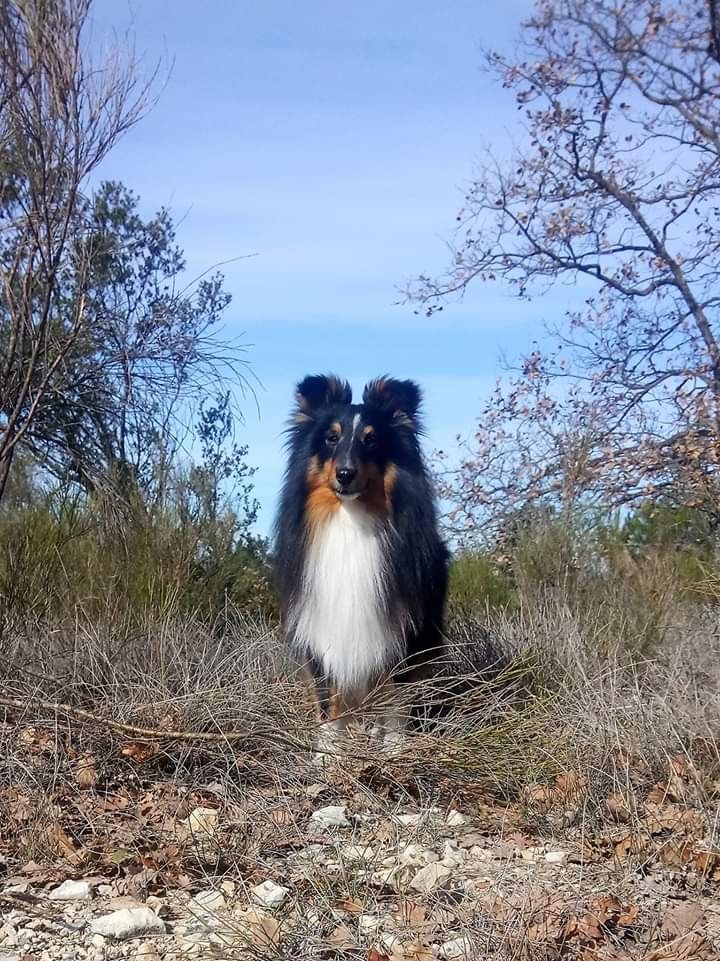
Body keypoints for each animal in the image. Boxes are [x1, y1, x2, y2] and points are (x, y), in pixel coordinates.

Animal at [272, 376, 448, 756]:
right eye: (331, 438)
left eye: (371, 439)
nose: (345, 474)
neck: (350, 520)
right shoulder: (323, 632)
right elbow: (329, 701)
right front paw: (327, 756)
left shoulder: (401, 634)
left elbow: (395, 700)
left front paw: (394, 751)